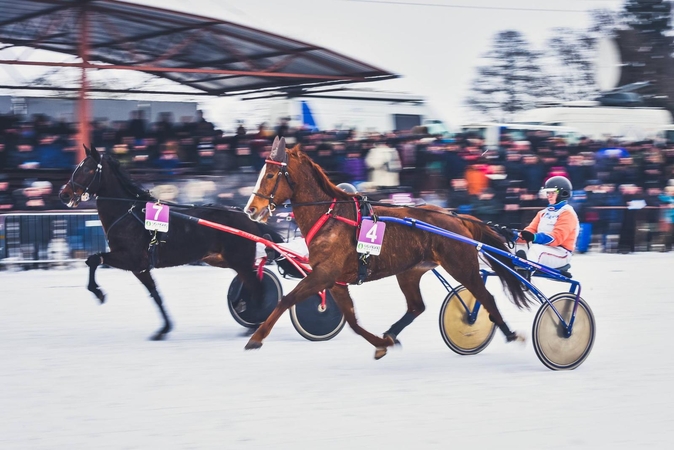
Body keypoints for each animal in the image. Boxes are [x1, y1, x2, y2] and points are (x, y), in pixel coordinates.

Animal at [59, 146, 284, 340]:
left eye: (86, 169)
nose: (64, 194)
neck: (128, 213)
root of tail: (247, 216)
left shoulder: (132, 259)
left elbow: (93, 259)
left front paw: (98, 292)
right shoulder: (141, 268)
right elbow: (155, 295)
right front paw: (163, 329)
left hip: (238, 259)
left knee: (257, 287)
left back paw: (254, 324)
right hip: (223, 259)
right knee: (252, 279)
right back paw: (241, 305)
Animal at [242, 137, 532, 358]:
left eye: (270, 174)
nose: (251, 209)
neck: (330, 217)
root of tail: (456, 217)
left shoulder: (324, 274)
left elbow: (287, 299)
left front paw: (257, 337)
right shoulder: (335, 280)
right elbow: (352, 320)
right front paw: (381, 344)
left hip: (461, 266)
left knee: (486, 297)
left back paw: (509, 334)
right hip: (410, 271)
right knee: (416, 307)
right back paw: (392, 333)